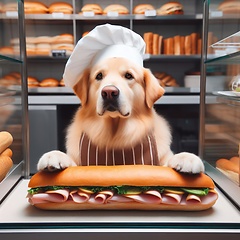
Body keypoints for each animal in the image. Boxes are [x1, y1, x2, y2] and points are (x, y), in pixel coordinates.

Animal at [37, 58, 204, 173]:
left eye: (129, 76)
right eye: (99, 76)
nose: (109, 92)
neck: (114, 134)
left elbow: (169, 160)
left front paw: (186, 157)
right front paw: (54, 156)